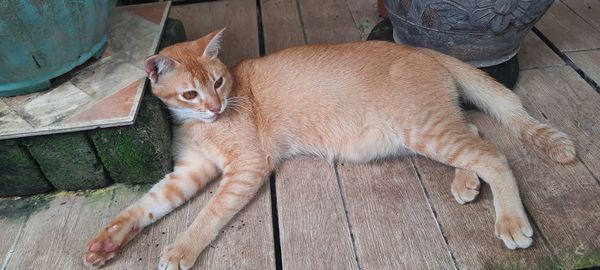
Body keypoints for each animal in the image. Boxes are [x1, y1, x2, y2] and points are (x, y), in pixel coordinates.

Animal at [84, 28, 576, 268]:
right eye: (190, 94)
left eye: (219, 82)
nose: (215, 105)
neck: (200, 127)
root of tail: (422, 51)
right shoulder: (188, 172)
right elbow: (144, 207)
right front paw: (106, 242)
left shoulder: (246, 167)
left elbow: (208, 214)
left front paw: (182, 250)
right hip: (428, 130)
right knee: (475, 134)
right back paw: (466, 182)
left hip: (423, 129)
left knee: (493, 155)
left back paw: (511, 221)